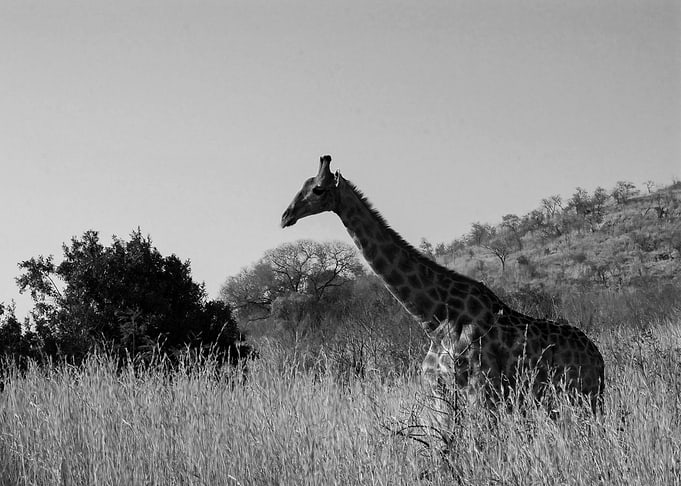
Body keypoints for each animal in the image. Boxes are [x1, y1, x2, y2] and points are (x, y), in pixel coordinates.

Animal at [281, 155, 605, 424]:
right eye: (302, 185)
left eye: (318, 189)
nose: (286, 216)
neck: (435, 317)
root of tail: (598, 356)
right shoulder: (439, 391)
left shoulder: (481, 391)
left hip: (584, 396)